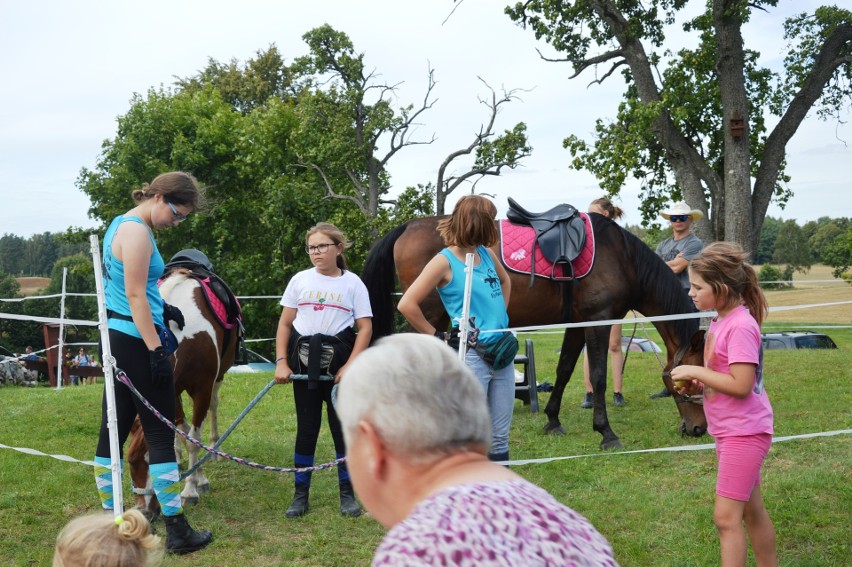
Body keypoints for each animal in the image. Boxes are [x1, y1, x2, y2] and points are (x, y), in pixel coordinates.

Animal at [128, 268, 240, 516]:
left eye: (151, 463)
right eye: (130, 462)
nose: (144, 511)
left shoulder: (202, 389)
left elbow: (194, 439)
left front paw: (191, 489)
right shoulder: (170, 389)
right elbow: (183, 431)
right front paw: (195, 476)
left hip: (218, 378)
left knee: (214, 406)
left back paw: (214, 447)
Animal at [362, 211, 708, 450]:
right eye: (693, 381)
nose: (698, 429)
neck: (622, 257)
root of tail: (408, 227)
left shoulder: (579, 325)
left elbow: (565, 369)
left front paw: (552, 421)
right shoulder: (599, 321)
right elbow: (598, 376)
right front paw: (606, 433)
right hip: (430, 319)